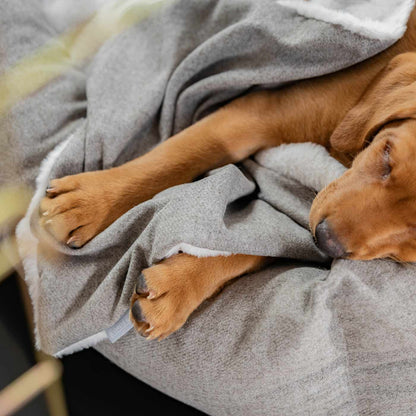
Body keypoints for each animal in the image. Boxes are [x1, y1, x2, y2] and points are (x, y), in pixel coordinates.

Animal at [39, 9, 416, 340]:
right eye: (386, 157)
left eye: (412, 243)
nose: (326, 239)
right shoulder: (256, 116)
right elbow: (173, 158)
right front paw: (92, 201)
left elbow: (260, 241)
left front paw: (179, 286)